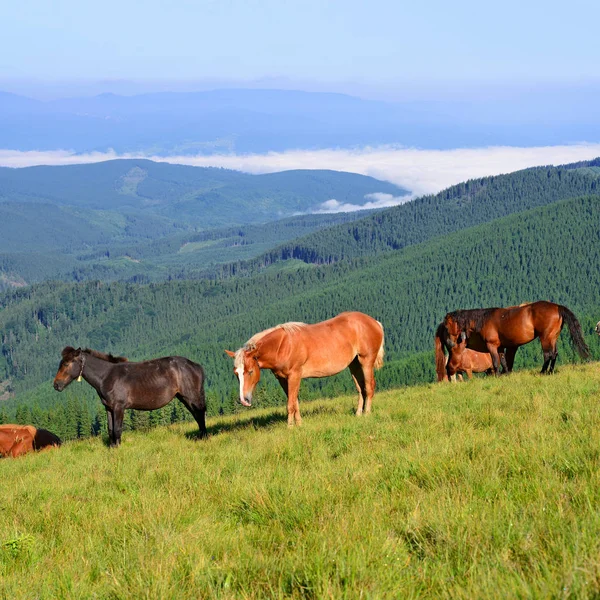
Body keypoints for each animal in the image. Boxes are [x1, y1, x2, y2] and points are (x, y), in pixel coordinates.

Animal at [54, 346, 209, 446]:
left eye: (66, 364)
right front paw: (113, 449)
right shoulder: (109, 408)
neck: (108, 376)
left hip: (192, 397)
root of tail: (195, 365)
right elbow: (110, 430)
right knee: (197, 415)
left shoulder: (119, 407)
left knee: (200, 414)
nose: (56, 385)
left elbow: (117, 430)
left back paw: (204, 437)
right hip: (184, 398)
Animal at [225, 312, 384, 424]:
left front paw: (290, 427)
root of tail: (374, 322)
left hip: (366, 361)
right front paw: (299, 423)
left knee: (369, 386)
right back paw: (358, 413)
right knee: (360, 389)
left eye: (250, 371)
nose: (244, 400)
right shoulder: (283, 379)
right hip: (354, 364)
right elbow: (294, 401)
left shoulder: (294, 375)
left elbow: (290, 404)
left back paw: (367, 413)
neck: (282, 346)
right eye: (236, 374)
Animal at [438, 300, 588, 376]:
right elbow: (504, 361)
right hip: (552, 337)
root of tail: (557, 307)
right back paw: (550, 372)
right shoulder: (500, 347)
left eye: (447, 326)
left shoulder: (492, 345)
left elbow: (496, 362)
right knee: (554, 354)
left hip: (545, 337)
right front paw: (506, 374)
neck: (484, 319)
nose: (450, 343)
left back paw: (543, 372)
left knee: (548, 354)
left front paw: (497, 376)